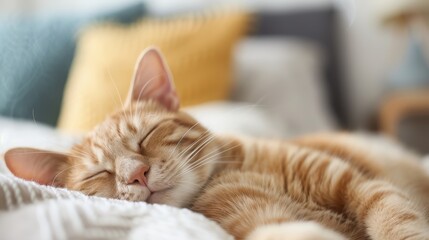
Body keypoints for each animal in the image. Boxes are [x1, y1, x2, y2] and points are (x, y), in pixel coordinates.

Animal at [5, 47, 428, 240]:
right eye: (101, 174)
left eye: (145, 137)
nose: (137, 174)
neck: (236, 171)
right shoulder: (258, 218)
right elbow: (288, 232)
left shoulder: (361, 186)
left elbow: (397, 222)